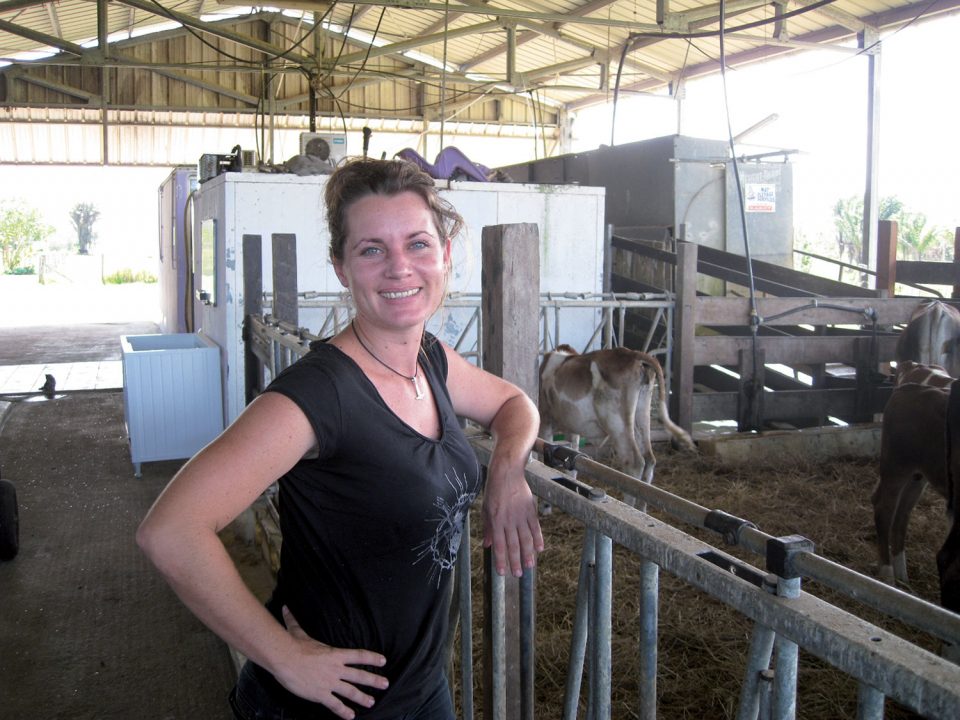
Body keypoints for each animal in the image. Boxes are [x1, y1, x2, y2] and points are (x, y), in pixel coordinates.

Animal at [536, 346, 692, 486]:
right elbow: (572, 463)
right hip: (641, 419)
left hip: (617, 423)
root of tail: (634, 354)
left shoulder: (545, 422)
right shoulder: (572, 429)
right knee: (649, 460)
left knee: (634, 462)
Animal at [872, 382, 948, 584]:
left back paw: (902, 575)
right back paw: (888, 573)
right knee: (884, 509)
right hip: (896, 466)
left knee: (901, 514)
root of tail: (910, 388)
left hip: (917, 476)